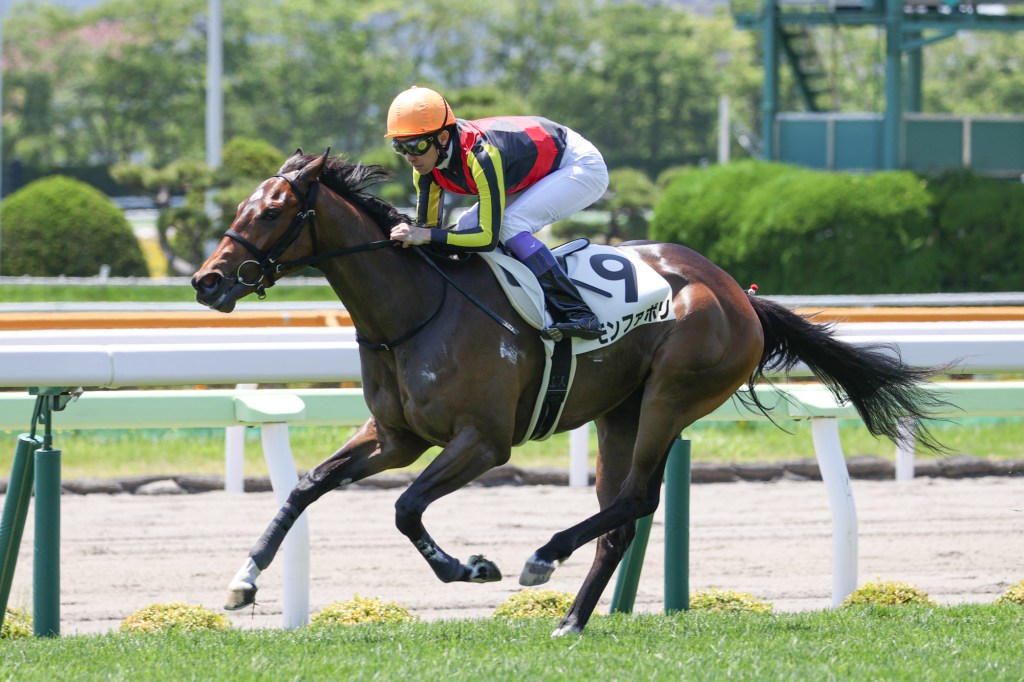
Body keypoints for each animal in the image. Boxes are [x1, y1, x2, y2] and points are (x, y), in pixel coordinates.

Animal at [192, 149, 945, 636]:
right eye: (243, 205)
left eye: (273, 211)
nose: (206, 281)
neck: (415, 311)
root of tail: (739, 294)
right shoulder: (395, 436)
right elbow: (306, 485)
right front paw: (243, 581)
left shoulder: (483, 442)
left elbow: (406, 508)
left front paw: (471, 568)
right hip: (619, 413)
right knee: (621, 518)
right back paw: (572, 620)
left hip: (672, 395)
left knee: (636, 499)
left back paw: (542, 559)